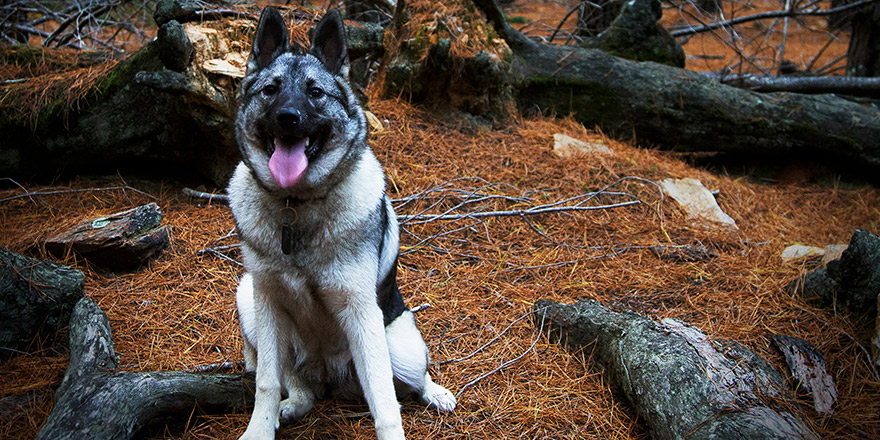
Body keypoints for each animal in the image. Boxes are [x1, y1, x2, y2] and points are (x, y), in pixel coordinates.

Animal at [227, 6, 458, 440]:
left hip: (400, 345)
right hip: (247, 298)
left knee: (414, 379)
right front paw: (260, 428)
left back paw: (437, 393)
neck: (296, 206)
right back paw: (293, 404)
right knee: (296, 384)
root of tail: (331, 377)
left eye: (316, 92)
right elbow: (266, 382)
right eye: (270, 90)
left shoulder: (361, 312)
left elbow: (385, 401)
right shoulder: (267, 302)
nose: (288, 117)